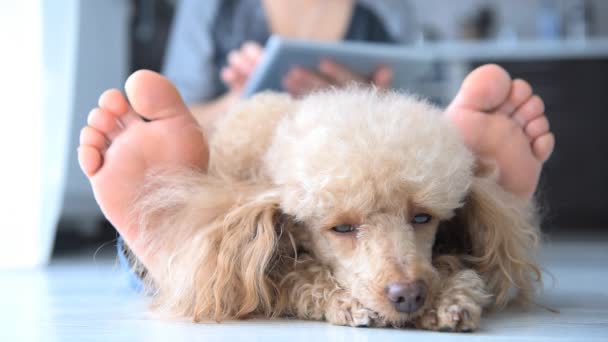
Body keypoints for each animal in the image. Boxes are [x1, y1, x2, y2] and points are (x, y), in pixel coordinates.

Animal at [133, 87, 540, 332]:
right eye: (342, 228)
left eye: (423, 217)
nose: (409, 295)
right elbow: (299, 273)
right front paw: (345, 302)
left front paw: (451, 298)